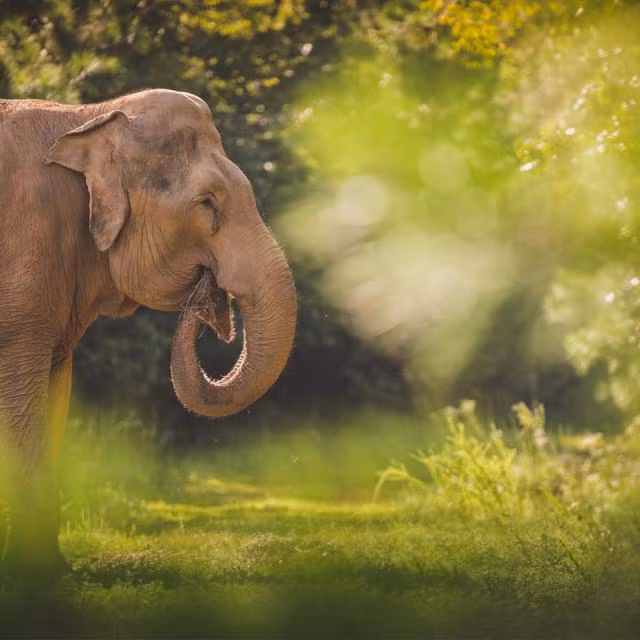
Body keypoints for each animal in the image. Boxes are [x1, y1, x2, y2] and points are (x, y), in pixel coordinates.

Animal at [0, 89, 297, 577]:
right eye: (207, 204)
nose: (206, 297)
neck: (88, 116)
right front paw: (33, 575)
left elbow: (53, 394)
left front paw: (50, 570)